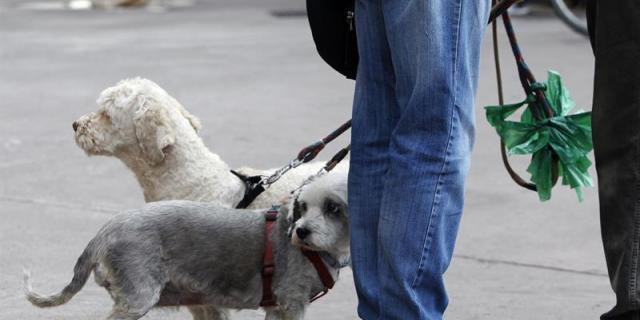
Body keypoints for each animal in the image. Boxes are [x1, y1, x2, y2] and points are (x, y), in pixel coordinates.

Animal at [22, 172, 350, 320]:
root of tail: (107, 229)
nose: (301, 231)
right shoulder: (292, 302)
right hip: (137, 296)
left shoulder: (279, 308)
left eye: (333, 208)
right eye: (303, 206)